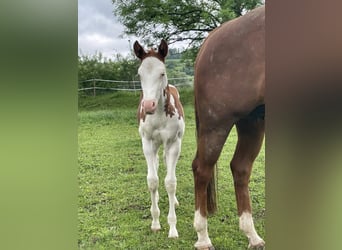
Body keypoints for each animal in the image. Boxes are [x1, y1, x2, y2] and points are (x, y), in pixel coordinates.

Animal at [134, 39, 186, 238]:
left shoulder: (173, 144)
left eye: (162, 72)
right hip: (154, 145)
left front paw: (172, 228)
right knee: (155, 165)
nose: (148, 105)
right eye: (139, 74)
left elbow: (170, 183)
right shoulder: (147, 143)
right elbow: (152, 180)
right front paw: (155, 222)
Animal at [192, 5, 264, 250]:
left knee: (240, 168)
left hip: (253, 121)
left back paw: (252, 235)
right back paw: (203, 237)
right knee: (201, 170)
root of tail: (212, 37)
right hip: (217, 125)